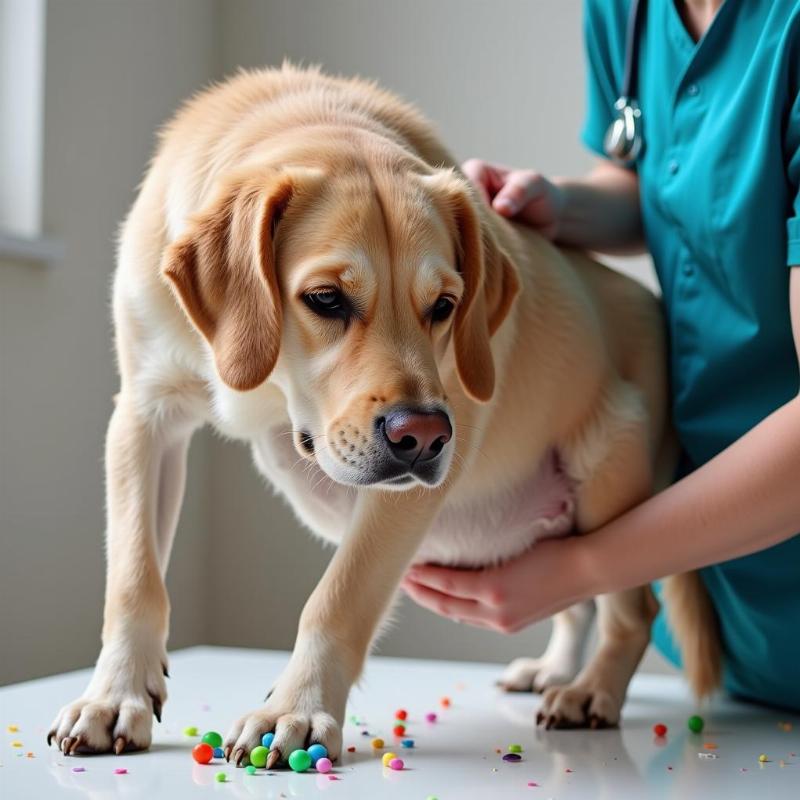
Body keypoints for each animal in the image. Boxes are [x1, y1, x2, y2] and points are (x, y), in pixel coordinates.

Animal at [47, 65, 720, 764]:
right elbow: (134, 579)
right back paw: (554, 669)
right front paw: (114, 696)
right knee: (578, 602)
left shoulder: (417, 479)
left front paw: (296, 710)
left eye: (445, 305)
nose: (422, 437)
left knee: (628, 611)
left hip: (608, 469)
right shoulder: (144, 416)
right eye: (325, 298)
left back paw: (591, 691)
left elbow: (337, 600)